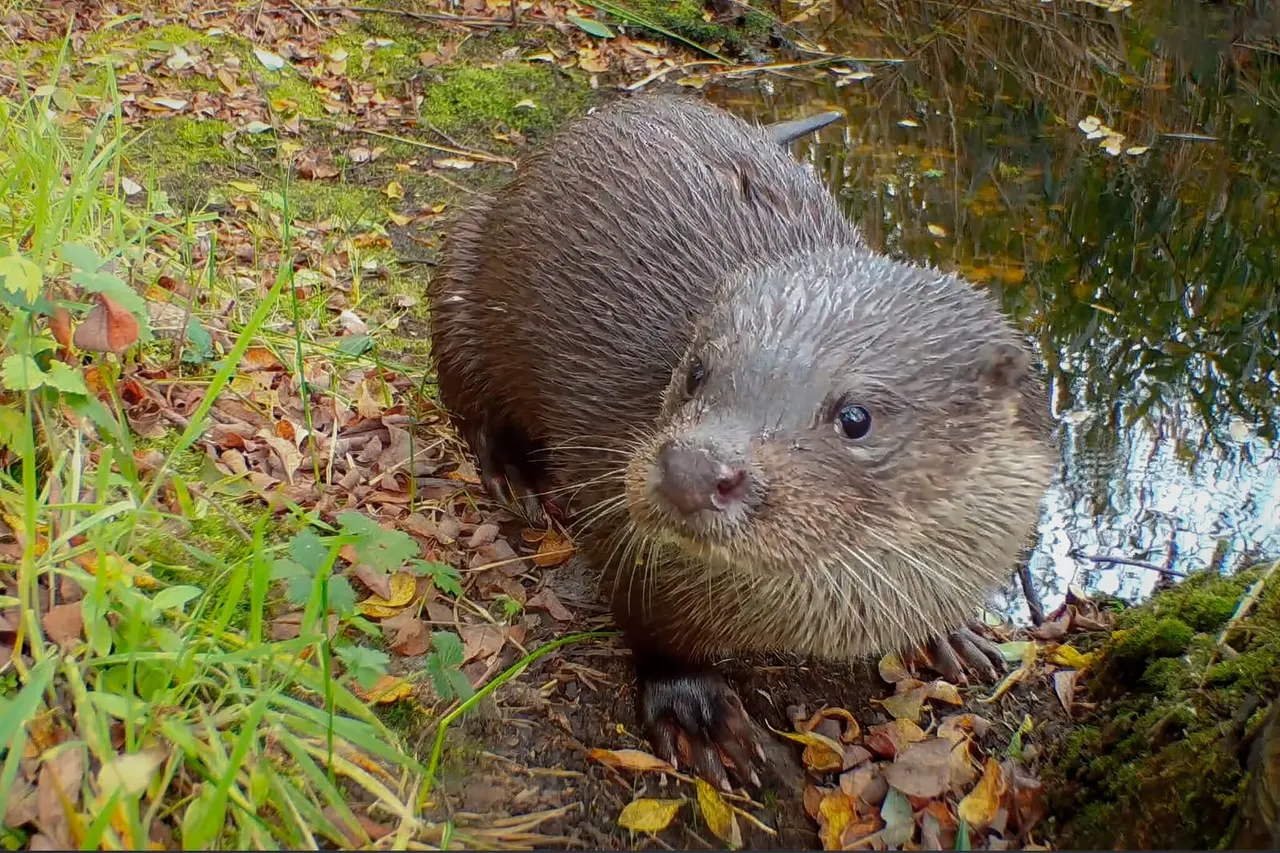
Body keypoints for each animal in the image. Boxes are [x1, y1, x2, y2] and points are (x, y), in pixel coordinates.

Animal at [428, 94, 1055, 791]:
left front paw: (948, 633)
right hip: (462, 266)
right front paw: (696, 712)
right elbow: (654, 630)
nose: (693, 469)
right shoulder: (626, 534)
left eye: (856, 417)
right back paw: (516, 474)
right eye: (697, 370)